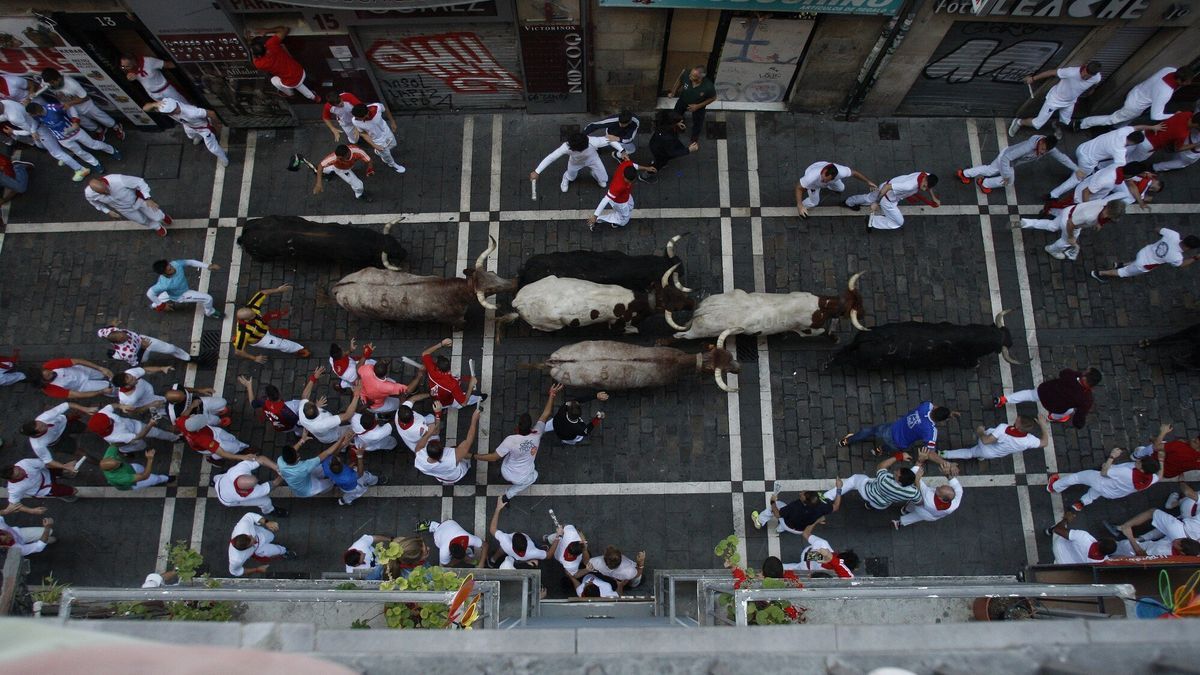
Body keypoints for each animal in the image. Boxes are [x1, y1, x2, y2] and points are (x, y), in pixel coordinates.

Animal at [331, 236, 513, 326]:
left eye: (492, 271)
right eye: (490, 290)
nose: (513, 283)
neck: (456, 294)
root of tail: (337, 287)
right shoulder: (454, 319)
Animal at [667, 270, 873, 338]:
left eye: (862, 299)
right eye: (857, 308)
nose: (865, 313)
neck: (821, 306)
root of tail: (702, 310)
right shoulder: (806, 329)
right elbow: (817, 332)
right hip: (700, 333)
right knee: (682, 336)